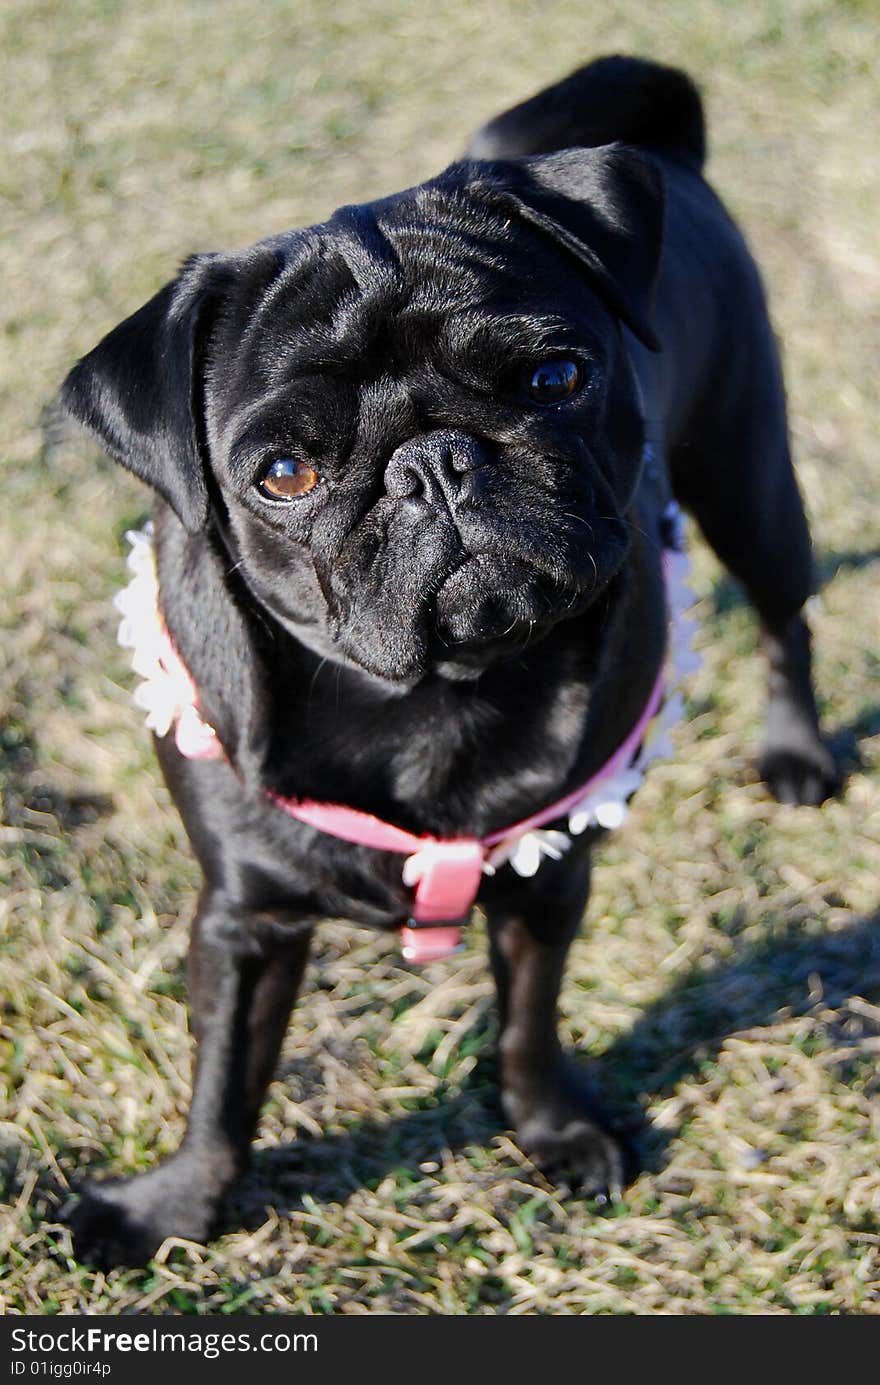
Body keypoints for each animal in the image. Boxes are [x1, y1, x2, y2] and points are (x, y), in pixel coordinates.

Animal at [60, 54, 831, 1268]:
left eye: (555, 375)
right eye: (282, 473)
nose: (431, 461)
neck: (427, 699)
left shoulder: (548, 876)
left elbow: (527, 1024)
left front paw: (552, 1130)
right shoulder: (243, 919)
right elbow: (223, 1081)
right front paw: (174, 1206)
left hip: (749, 475)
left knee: (784, 617)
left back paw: (797, 753)